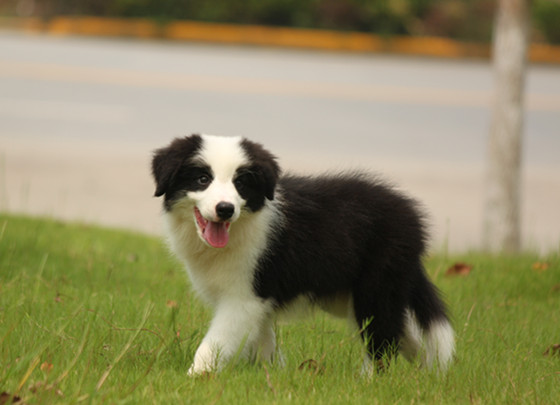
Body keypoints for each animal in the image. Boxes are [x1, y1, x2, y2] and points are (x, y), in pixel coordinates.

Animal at [153, 134, 456, 374]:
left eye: (241, 184)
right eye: (203, 179)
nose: (225, 209)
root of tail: (412, 218)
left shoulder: (245, 296)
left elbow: (216, 341)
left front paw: (195, 377)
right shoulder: (257, 302)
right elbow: (263, 340)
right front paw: (270, 373)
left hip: (377, 284)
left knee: (381, 337)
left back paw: (371, 380)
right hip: (351, 295)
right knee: (402, 333)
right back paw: (425, 375)